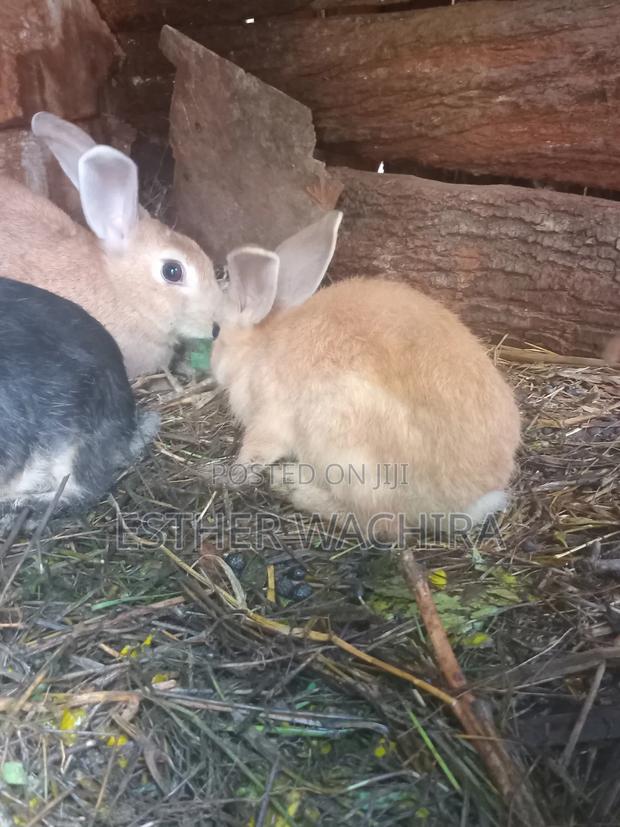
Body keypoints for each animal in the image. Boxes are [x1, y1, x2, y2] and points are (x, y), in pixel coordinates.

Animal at [210, 211, 521, 542]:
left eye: (215, 331)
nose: (213, 365)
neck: (259, 346)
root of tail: (469, 501)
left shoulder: (268, 421)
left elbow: (252, 455)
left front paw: (228, 477)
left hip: (346, 450)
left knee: (382, 523)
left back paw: (291, 484)